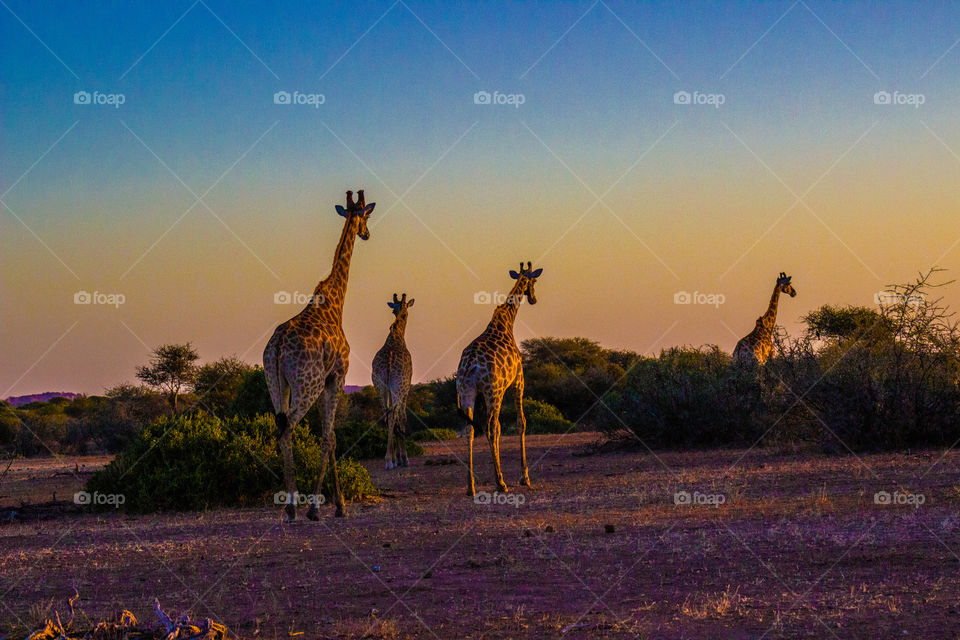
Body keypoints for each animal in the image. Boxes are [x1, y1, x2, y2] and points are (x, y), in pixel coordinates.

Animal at [263, 189, 375, 520]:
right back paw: (294, 507)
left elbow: (330, 437)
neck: (335, 304)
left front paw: (335, 504)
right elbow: (329, 438)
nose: (366, 233)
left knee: (280, 426)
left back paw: (290, 506)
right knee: (287, 428)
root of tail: (277, 346)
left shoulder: (326, 380)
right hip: (307, 384)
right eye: (365, 215)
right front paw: (328, 506)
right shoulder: (337, 375)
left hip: (275, 382)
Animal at [456, 261, 542, 496]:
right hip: (491, 391)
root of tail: (470, 367)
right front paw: (525, 477)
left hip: (466, 392)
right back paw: (500, 482)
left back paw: (470, 486)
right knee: (490, 427)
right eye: (534, 280)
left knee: (470, 429)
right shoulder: (518, 380)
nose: (533, 298)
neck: (506, 321)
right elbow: (520, 422)